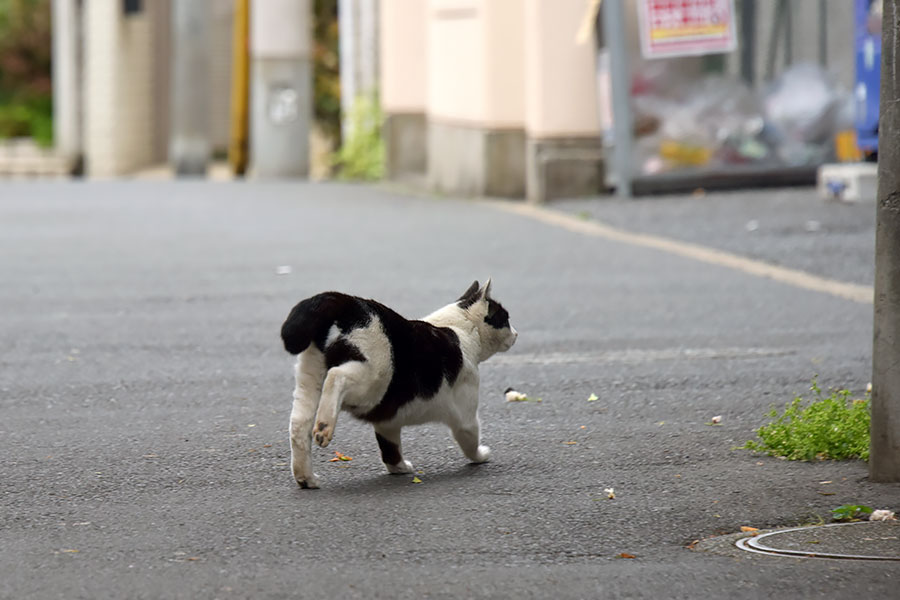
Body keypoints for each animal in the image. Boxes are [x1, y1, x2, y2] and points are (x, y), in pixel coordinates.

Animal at [284, 280, 516, 488]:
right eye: (506, 318)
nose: (516, 333)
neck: (459, 328)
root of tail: (344, 301)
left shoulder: (388, 421)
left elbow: (390, 448)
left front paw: (399, 468)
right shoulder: (465, 416)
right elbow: (471, 441)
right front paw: (481, 455)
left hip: (311, 381)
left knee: (298, 426)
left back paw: (306, 478)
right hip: (372, 381)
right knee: (336, 377)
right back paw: (324, 429)